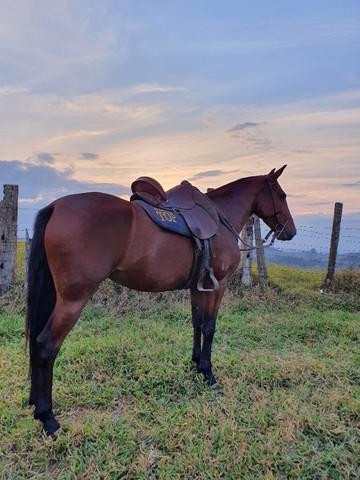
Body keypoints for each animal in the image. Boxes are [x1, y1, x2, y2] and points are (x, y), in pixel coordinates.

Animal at [24, 165, 296, 436]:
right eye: (282, 195)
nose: (290, 231)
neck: (218, 219)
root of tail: (56, 206)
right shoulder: (218, 285)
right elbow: (209, 327)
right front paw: (208, 373)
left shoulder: (198, 287)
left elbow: (197, 323)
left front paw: (195, 364)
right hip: (73, 300)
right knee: (46, 345)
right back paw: (48, 417)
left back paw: (35, 404)